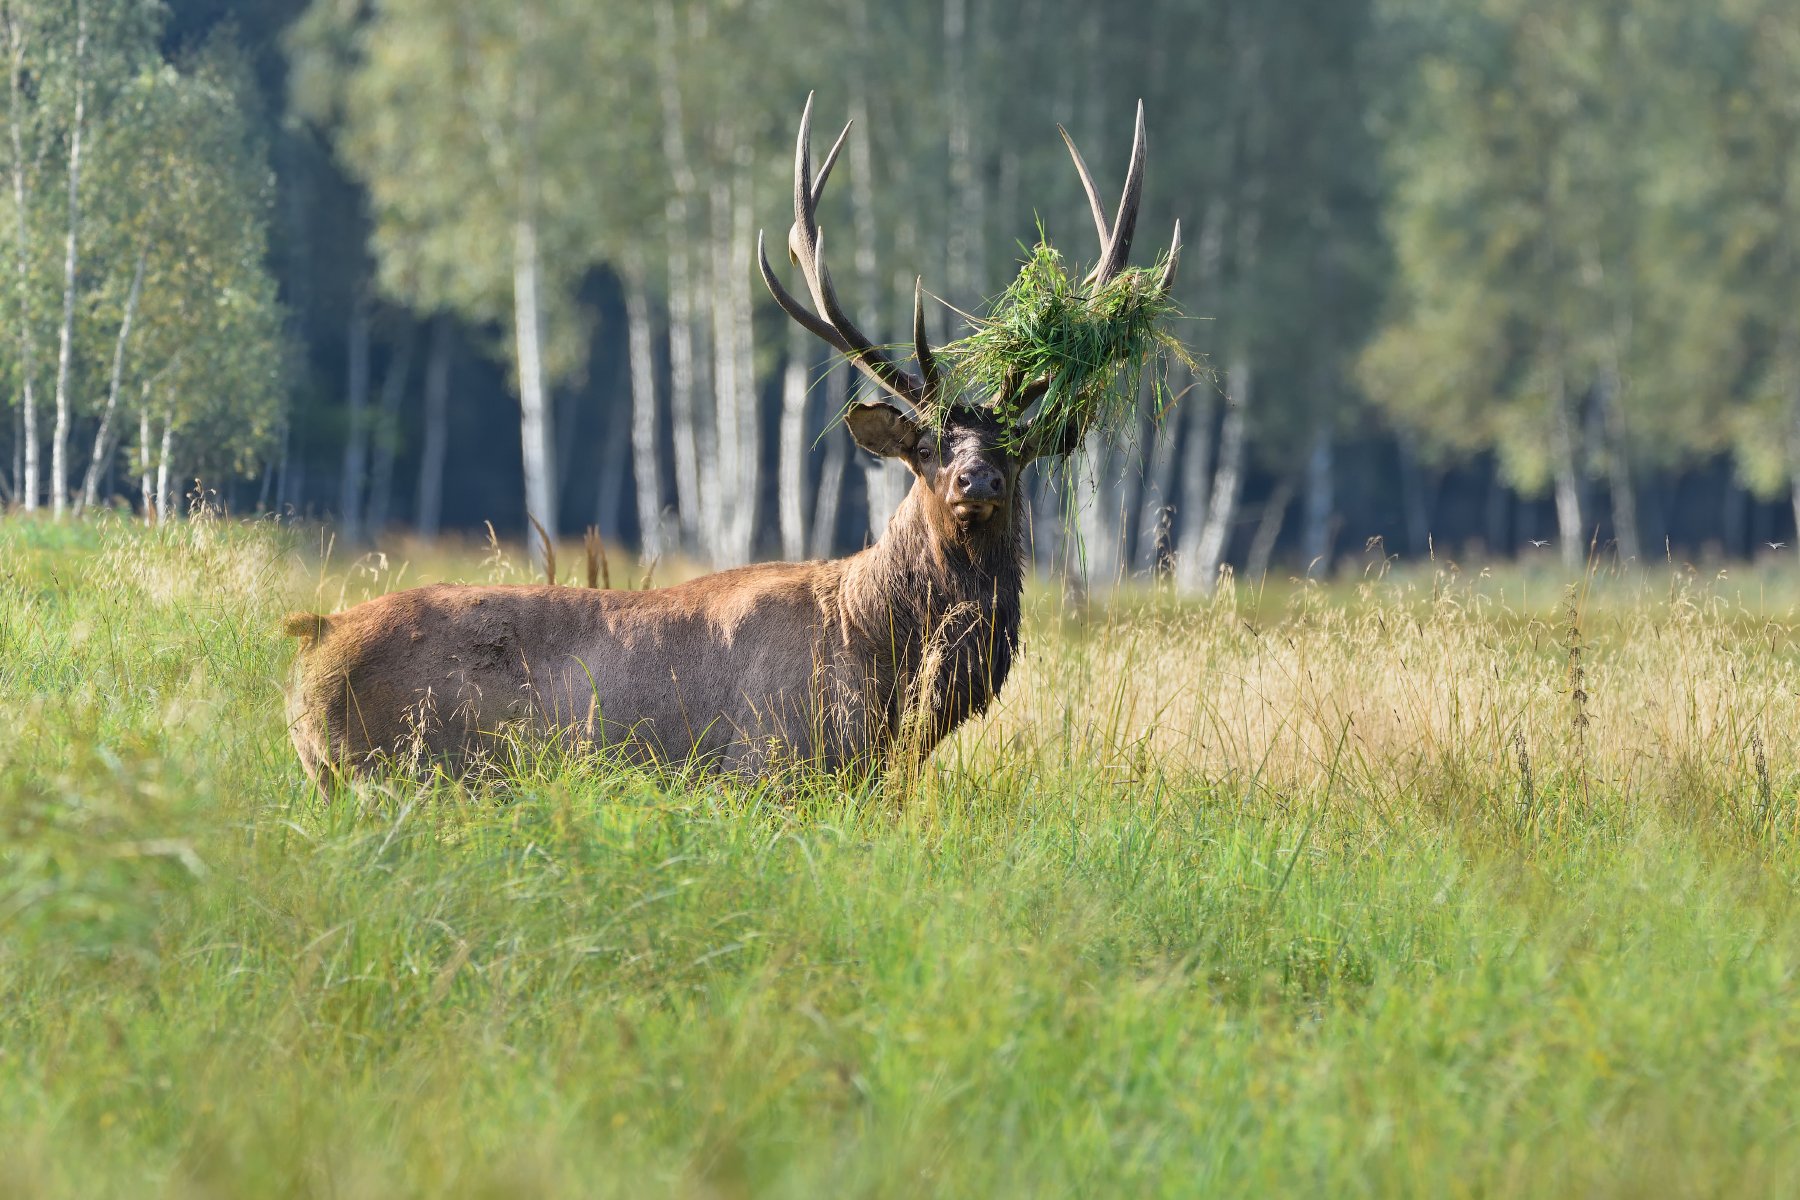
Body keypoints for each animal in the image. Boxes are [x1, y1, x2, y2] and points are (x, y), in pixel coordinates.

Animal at [280, 96, 1180, 788]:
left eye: (1016, 452)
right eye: (925, 450)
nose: (977, 482)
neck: (878, 657)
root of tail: (307, 657)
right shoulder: (766, 768)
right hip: (403, 772)